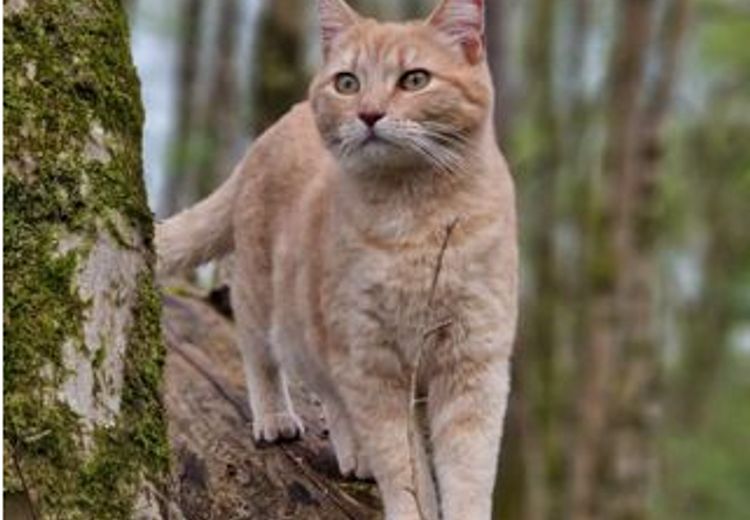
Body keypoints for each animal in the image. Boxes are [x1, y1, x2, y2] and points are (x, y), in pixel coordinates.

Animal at [156, 1, 520, 516]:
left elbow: (467, 473)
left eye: (415, 79)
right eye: (348, 82)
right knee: (264, 357)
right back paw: (278, 419)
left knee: (330, 393)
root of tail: (268, 134)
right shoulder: (371, 359)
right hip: (269, 303)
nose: (369, 113)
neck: (416, 218)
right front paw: (408, 502)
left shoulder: (473, 361)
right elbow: (402, 464)